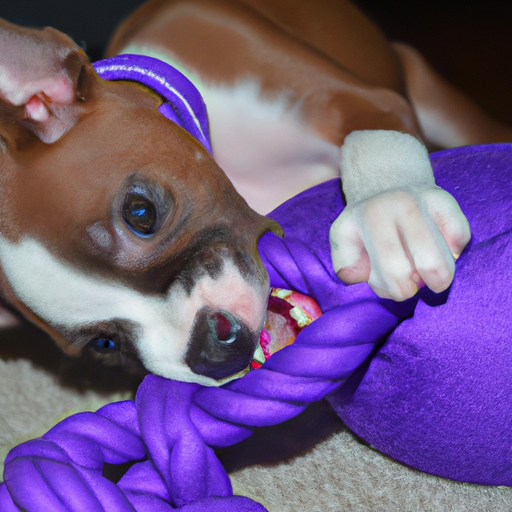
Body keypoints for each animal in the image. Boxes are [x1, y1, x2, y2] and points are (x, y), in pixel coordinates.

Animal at [0, 0, 508, 384]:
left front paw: (392, 209)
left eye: (140, 213)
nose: (211, 352)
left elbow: (372, 139)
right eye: (104, 344)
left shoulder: (363, 101)